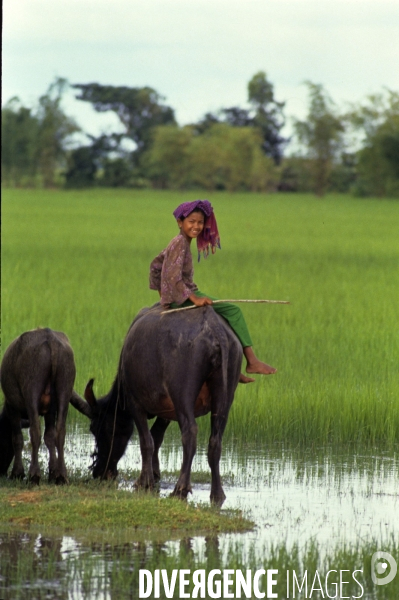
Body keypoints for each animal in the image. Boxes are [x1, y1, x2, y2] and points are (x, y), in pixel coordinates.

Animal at [0, 328, 77, 482]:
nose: (1, 471)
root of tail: (49, 337)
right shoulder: (50, 411)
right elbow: (49, 436)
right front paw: (52, 471)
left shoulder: (12, 407)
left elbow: (17, 438)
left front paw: (17, 472)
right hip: (65, 390)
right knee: (60, 431)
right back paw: (61, 475)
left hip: (31, 392)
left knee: (35, 431)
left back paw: (34, 474)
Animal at [74, 304, 242, 506]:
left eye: (97, 429)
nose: (100, 472)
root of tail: (215, 328)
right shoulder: (166, 411)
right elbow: (157, 436)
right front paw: (154, 474)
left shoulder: (134, 403)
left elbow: (146, 441)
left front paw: (144, 481)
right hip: (225, 397)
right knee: (215, 440)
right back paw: (217, 493)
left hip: (182, 396)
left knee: (190, 433)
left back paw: (180, 489)